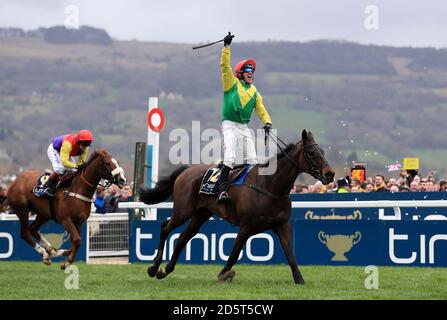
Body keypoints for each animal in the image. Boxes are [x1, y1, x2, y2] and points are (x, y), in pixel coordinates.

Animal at [141, 130, 336, 284]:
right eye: (311, 152)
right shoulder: (246, 226)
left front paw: (299, 279)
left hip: (200, 214)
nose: (330, 174)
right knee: (165, 227)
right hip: (183, 211)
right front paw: (223, 274)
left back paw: (166, 270)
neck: (269, 185)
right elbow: (235, 253)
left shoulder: (282, 224)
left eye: (322, 151)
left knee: (183, 237)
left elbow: (290, 254)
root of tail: (186, 171)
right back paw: (154, 266)